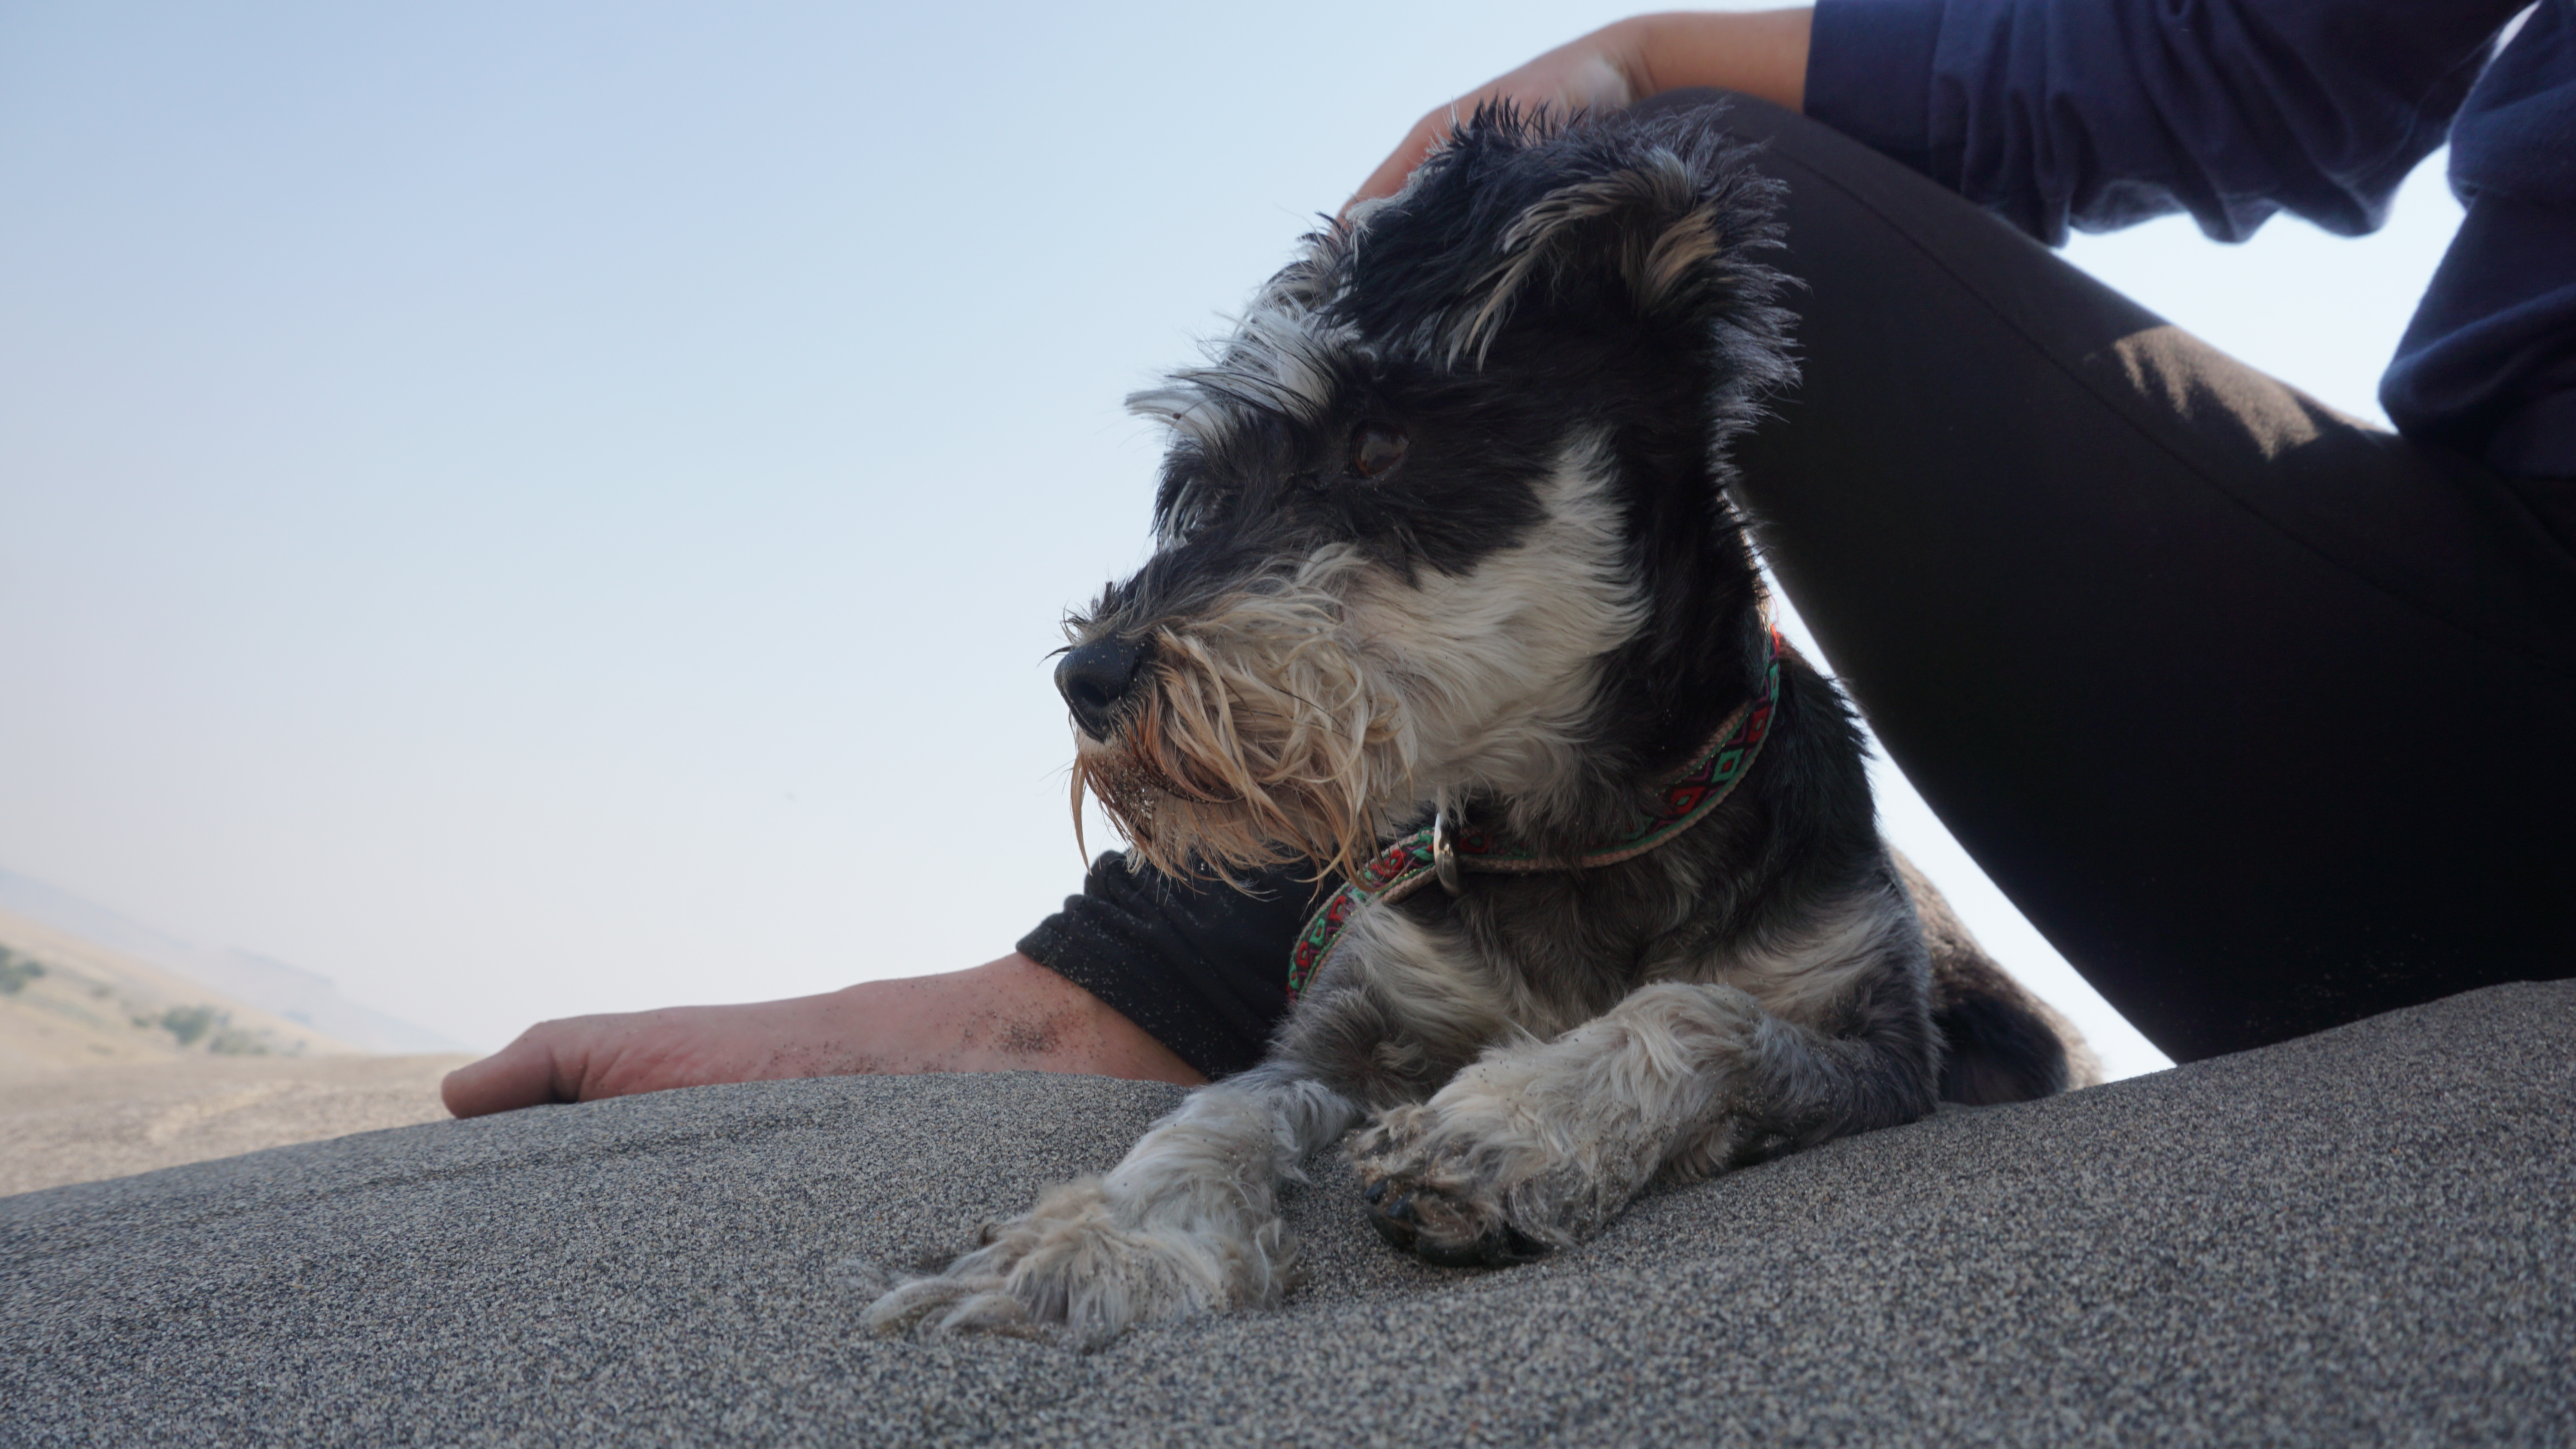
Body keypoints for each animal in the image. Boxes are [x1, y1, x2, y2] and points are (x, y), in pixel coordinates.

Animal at [866, 107, 2092, 1359]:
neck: (1575, 834)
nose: (1091, 678)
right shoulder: (1343, 1023)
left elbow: (1701, 1014)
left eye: (1376, 444)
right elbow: (1217, 1113)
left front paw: (1505, 1131)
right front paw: (1094, 1248)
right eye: (1205, 488)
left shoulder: (1881, 1048)